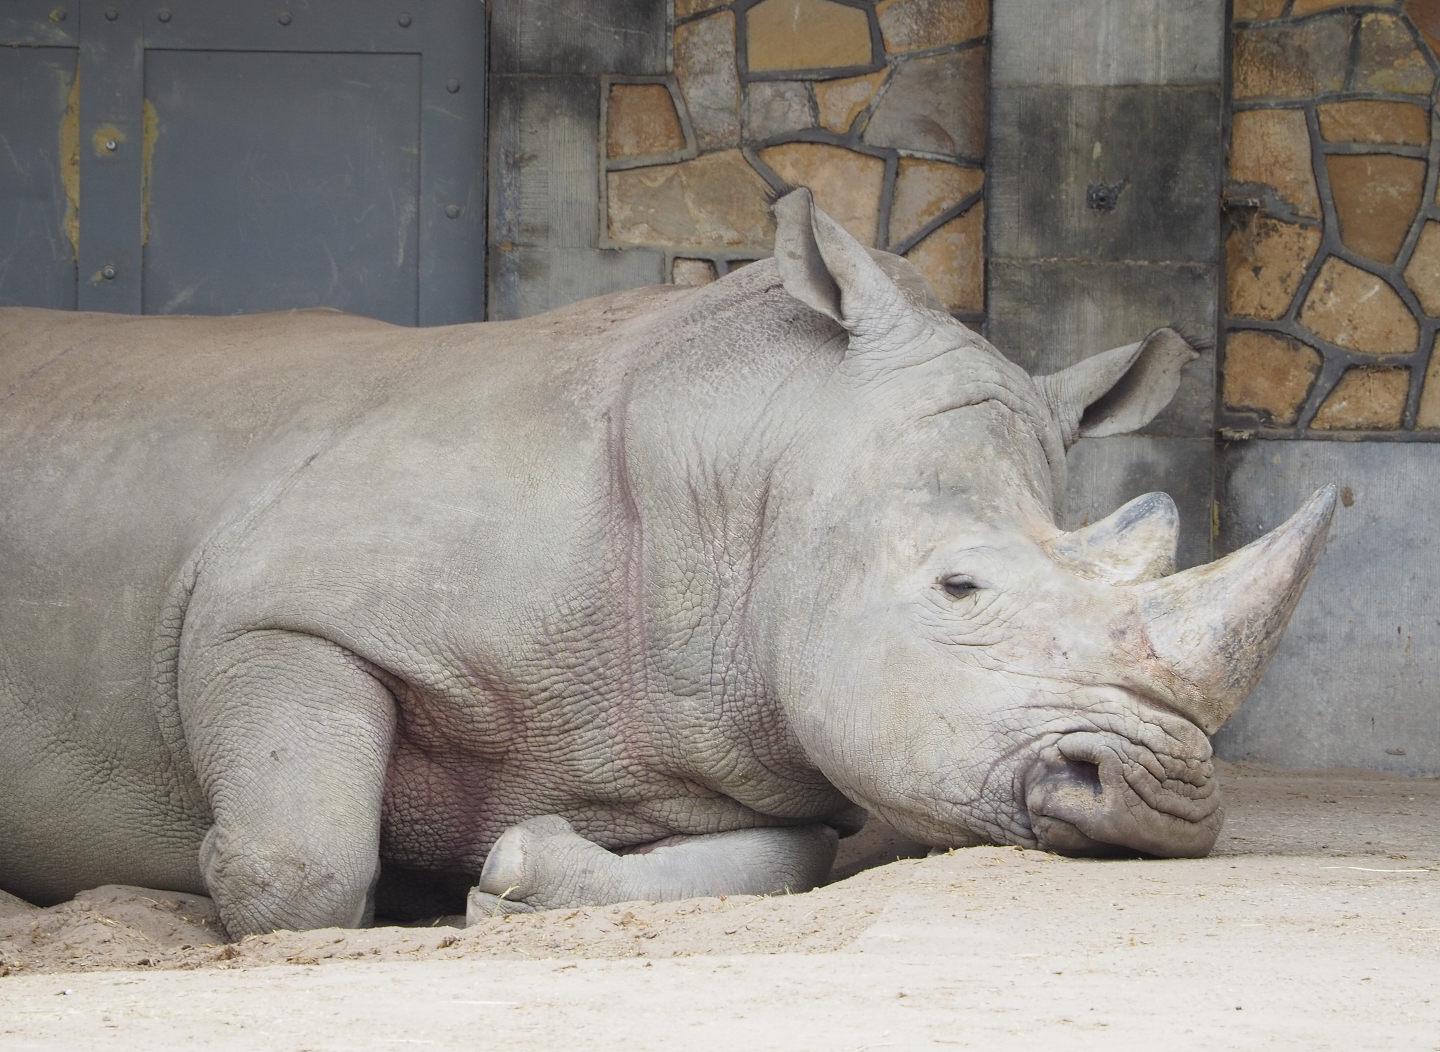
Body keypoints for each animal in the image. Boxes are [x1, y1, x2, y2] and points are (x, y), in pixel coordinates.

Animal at [0, 189, 1333, 937]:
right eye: (960, 587)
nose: (1160, 797)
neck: (751, 480)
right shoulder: (277, 611)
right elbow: (297, 863)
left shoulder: (746, 731)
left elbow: (776, 863)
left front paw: (512, 880)